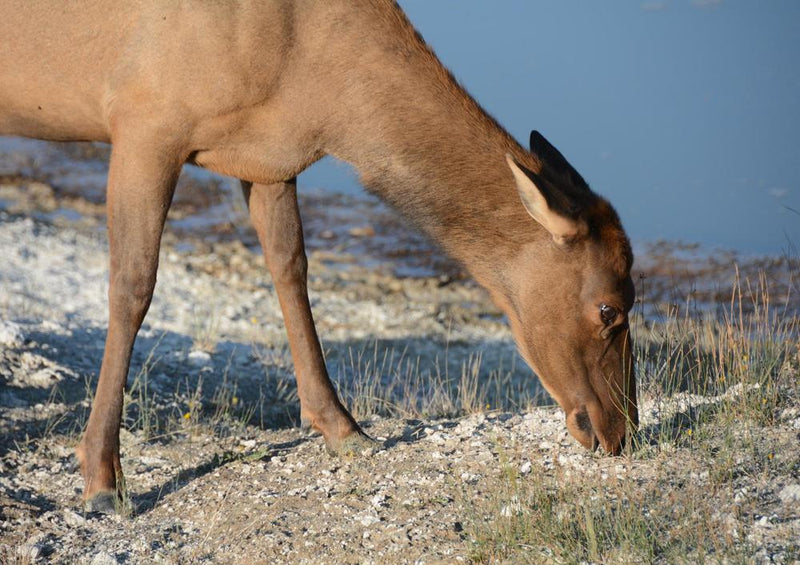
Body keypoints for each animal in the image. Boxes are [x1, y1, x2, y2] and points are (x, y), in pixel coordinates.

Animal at [0, 0, 636, 512]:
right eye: (610, 308)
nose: (621, 430)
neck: (323, 93)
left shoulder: (267, 157)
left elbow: (292, 268)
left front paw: (344, 428)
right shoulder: (144, 118)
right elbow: (133, 286)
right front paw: (101, 480)